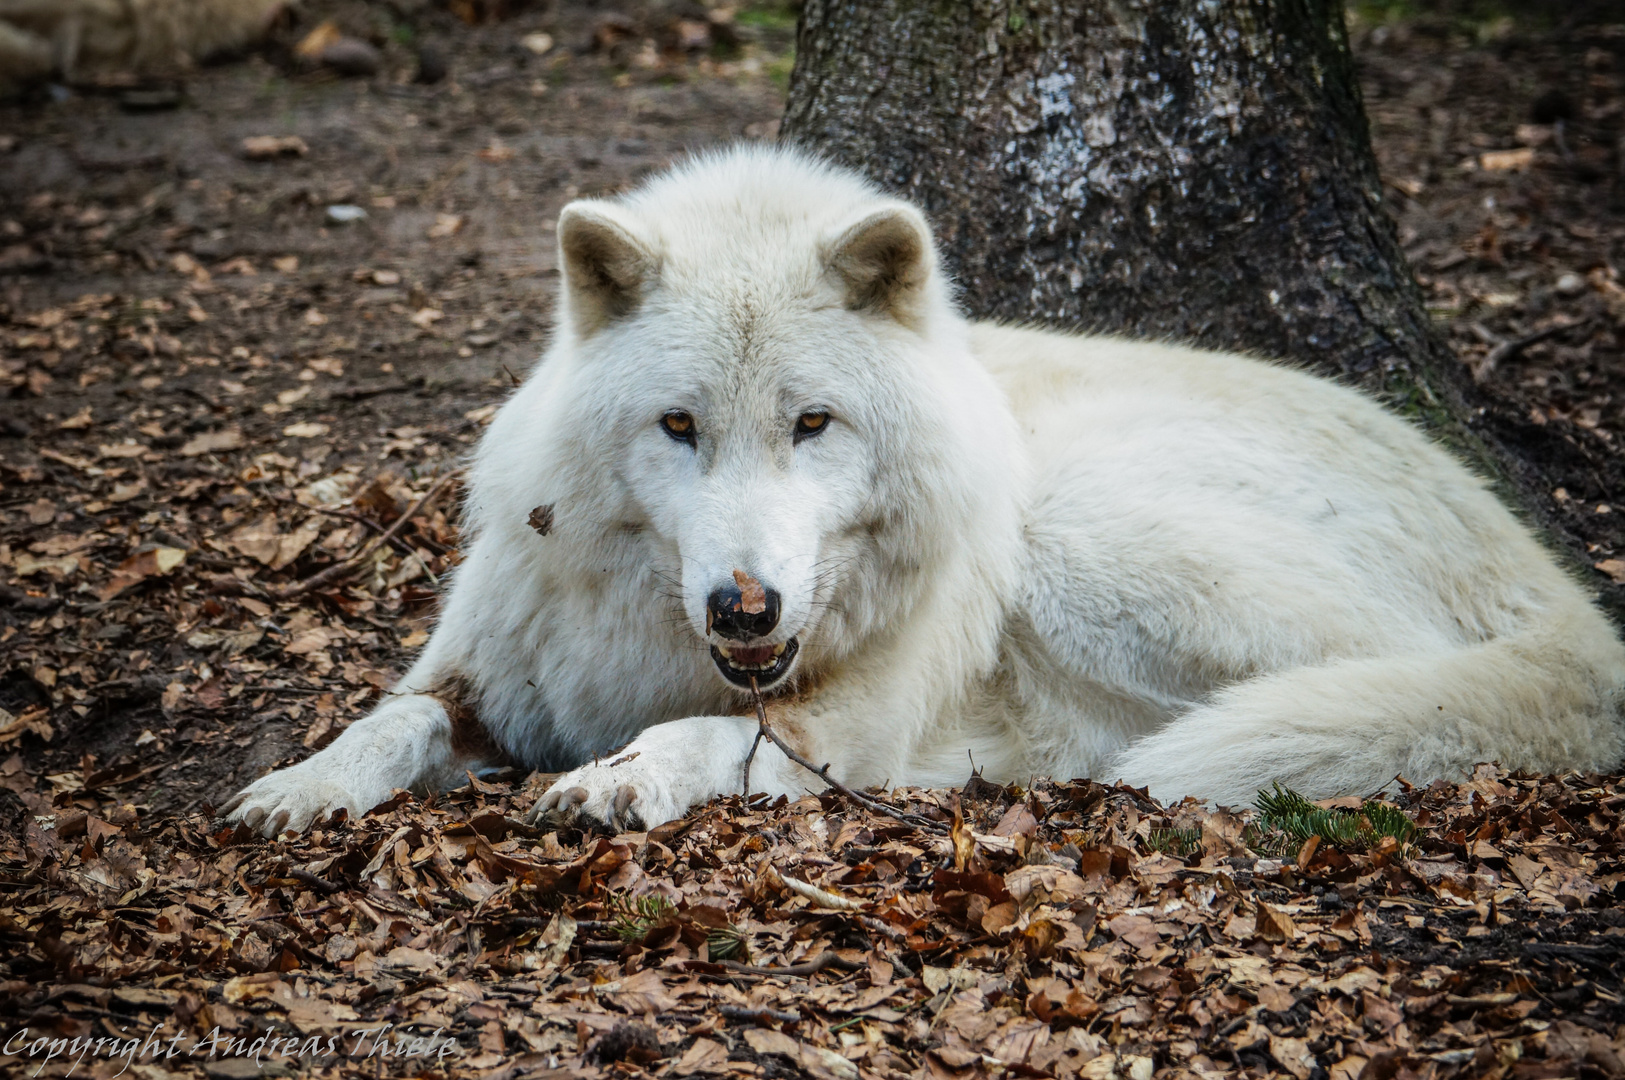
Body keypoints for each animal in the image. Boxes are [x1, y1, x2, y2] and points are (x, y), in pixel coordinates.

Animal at [225, 145, 1625, 831]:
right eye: (677, 427)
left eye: (812, 425)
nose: (743, 605)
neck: (654, 636)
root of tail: (1557, 594)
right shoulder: (479, 676)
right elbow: (386, 720)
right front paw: (296, 790)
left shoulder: (842, 724)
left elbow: (714, 735)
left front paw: (622, 778)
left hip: (1076, 532)